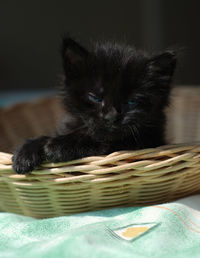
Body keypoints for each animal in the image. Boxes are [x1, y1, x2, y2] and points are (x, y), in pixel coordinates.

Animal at [12, 37, 177, 174]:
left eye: (131, 102)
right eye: (95, 97)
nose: (111, 117)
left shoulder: (144, 143)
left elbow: (101, 141)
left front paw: (60, 145)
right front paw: (25, 153)